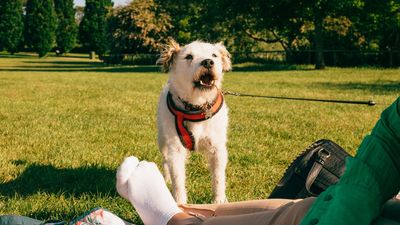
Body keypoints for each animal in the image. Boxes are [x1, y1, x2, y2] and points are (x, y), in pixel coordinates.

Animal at [156, 39, 231, 204]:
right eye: (189, 56)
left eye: (214, 55)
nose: (208, 62)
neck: (197, 106)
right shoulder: (175, 149)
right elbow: (178, 179)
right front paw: (179, 203)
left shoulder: (217, 149)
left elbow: (218, 177)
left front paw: (219, 201)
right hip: (162, 141)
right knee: (165, 161)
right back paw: (166, 179)